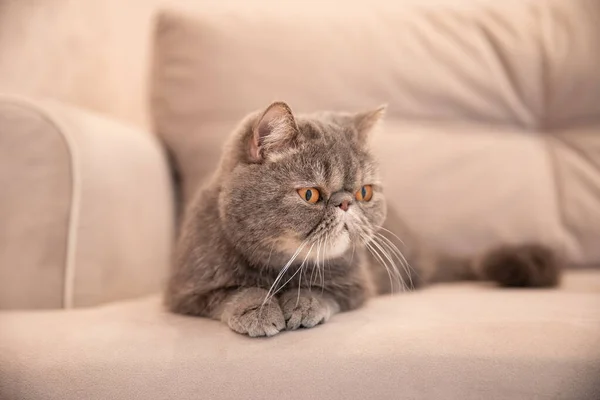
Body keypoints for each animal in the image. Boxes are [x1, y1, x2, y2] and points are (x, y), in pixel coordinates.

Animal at [165, 101, 564, 336]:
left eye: (364, 193)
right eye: (310, 194)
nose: (345, 203)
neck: (281, 266)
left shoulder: (358, 285)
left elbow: (322, 290)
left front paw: (302, 302)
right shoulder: (185, 292)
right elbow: (238, 292)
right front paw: (259, 310)